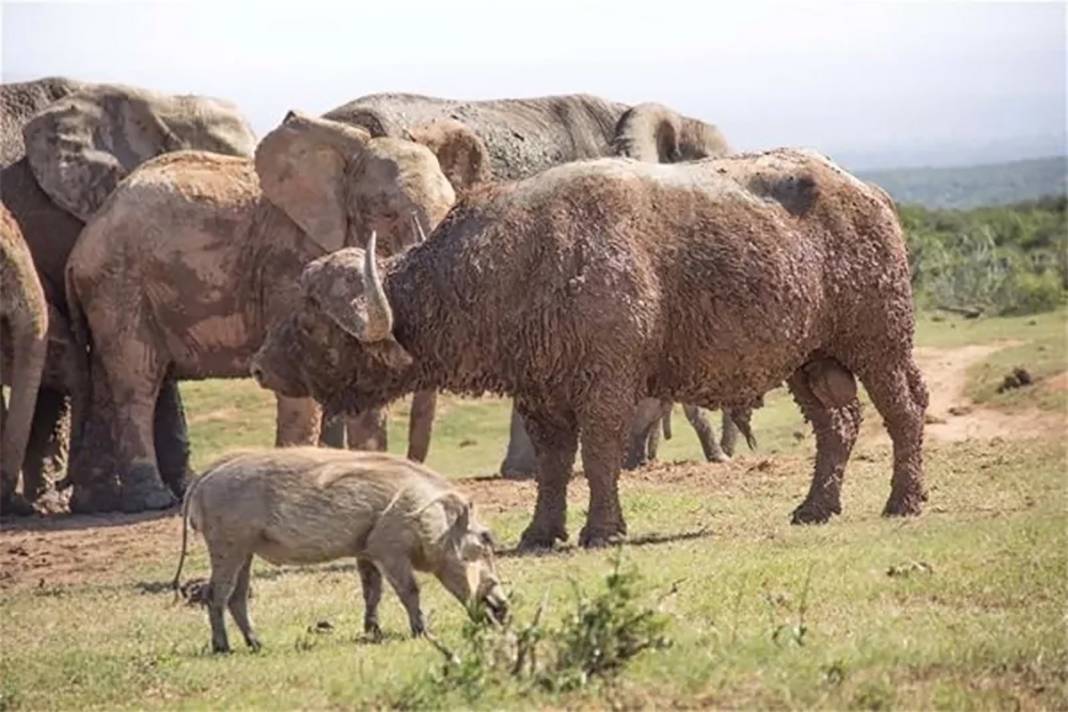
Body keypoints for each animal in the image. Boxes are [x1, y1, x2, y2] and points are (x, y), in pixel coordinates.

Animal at [64, 111, 469, 512]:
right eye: (387, 214)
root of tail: (81, 245)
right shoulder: (288, 263)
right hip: (118, 282)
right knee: (137, 379)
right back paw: (150, 499)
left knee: (116, 380)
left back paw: (101, 502)